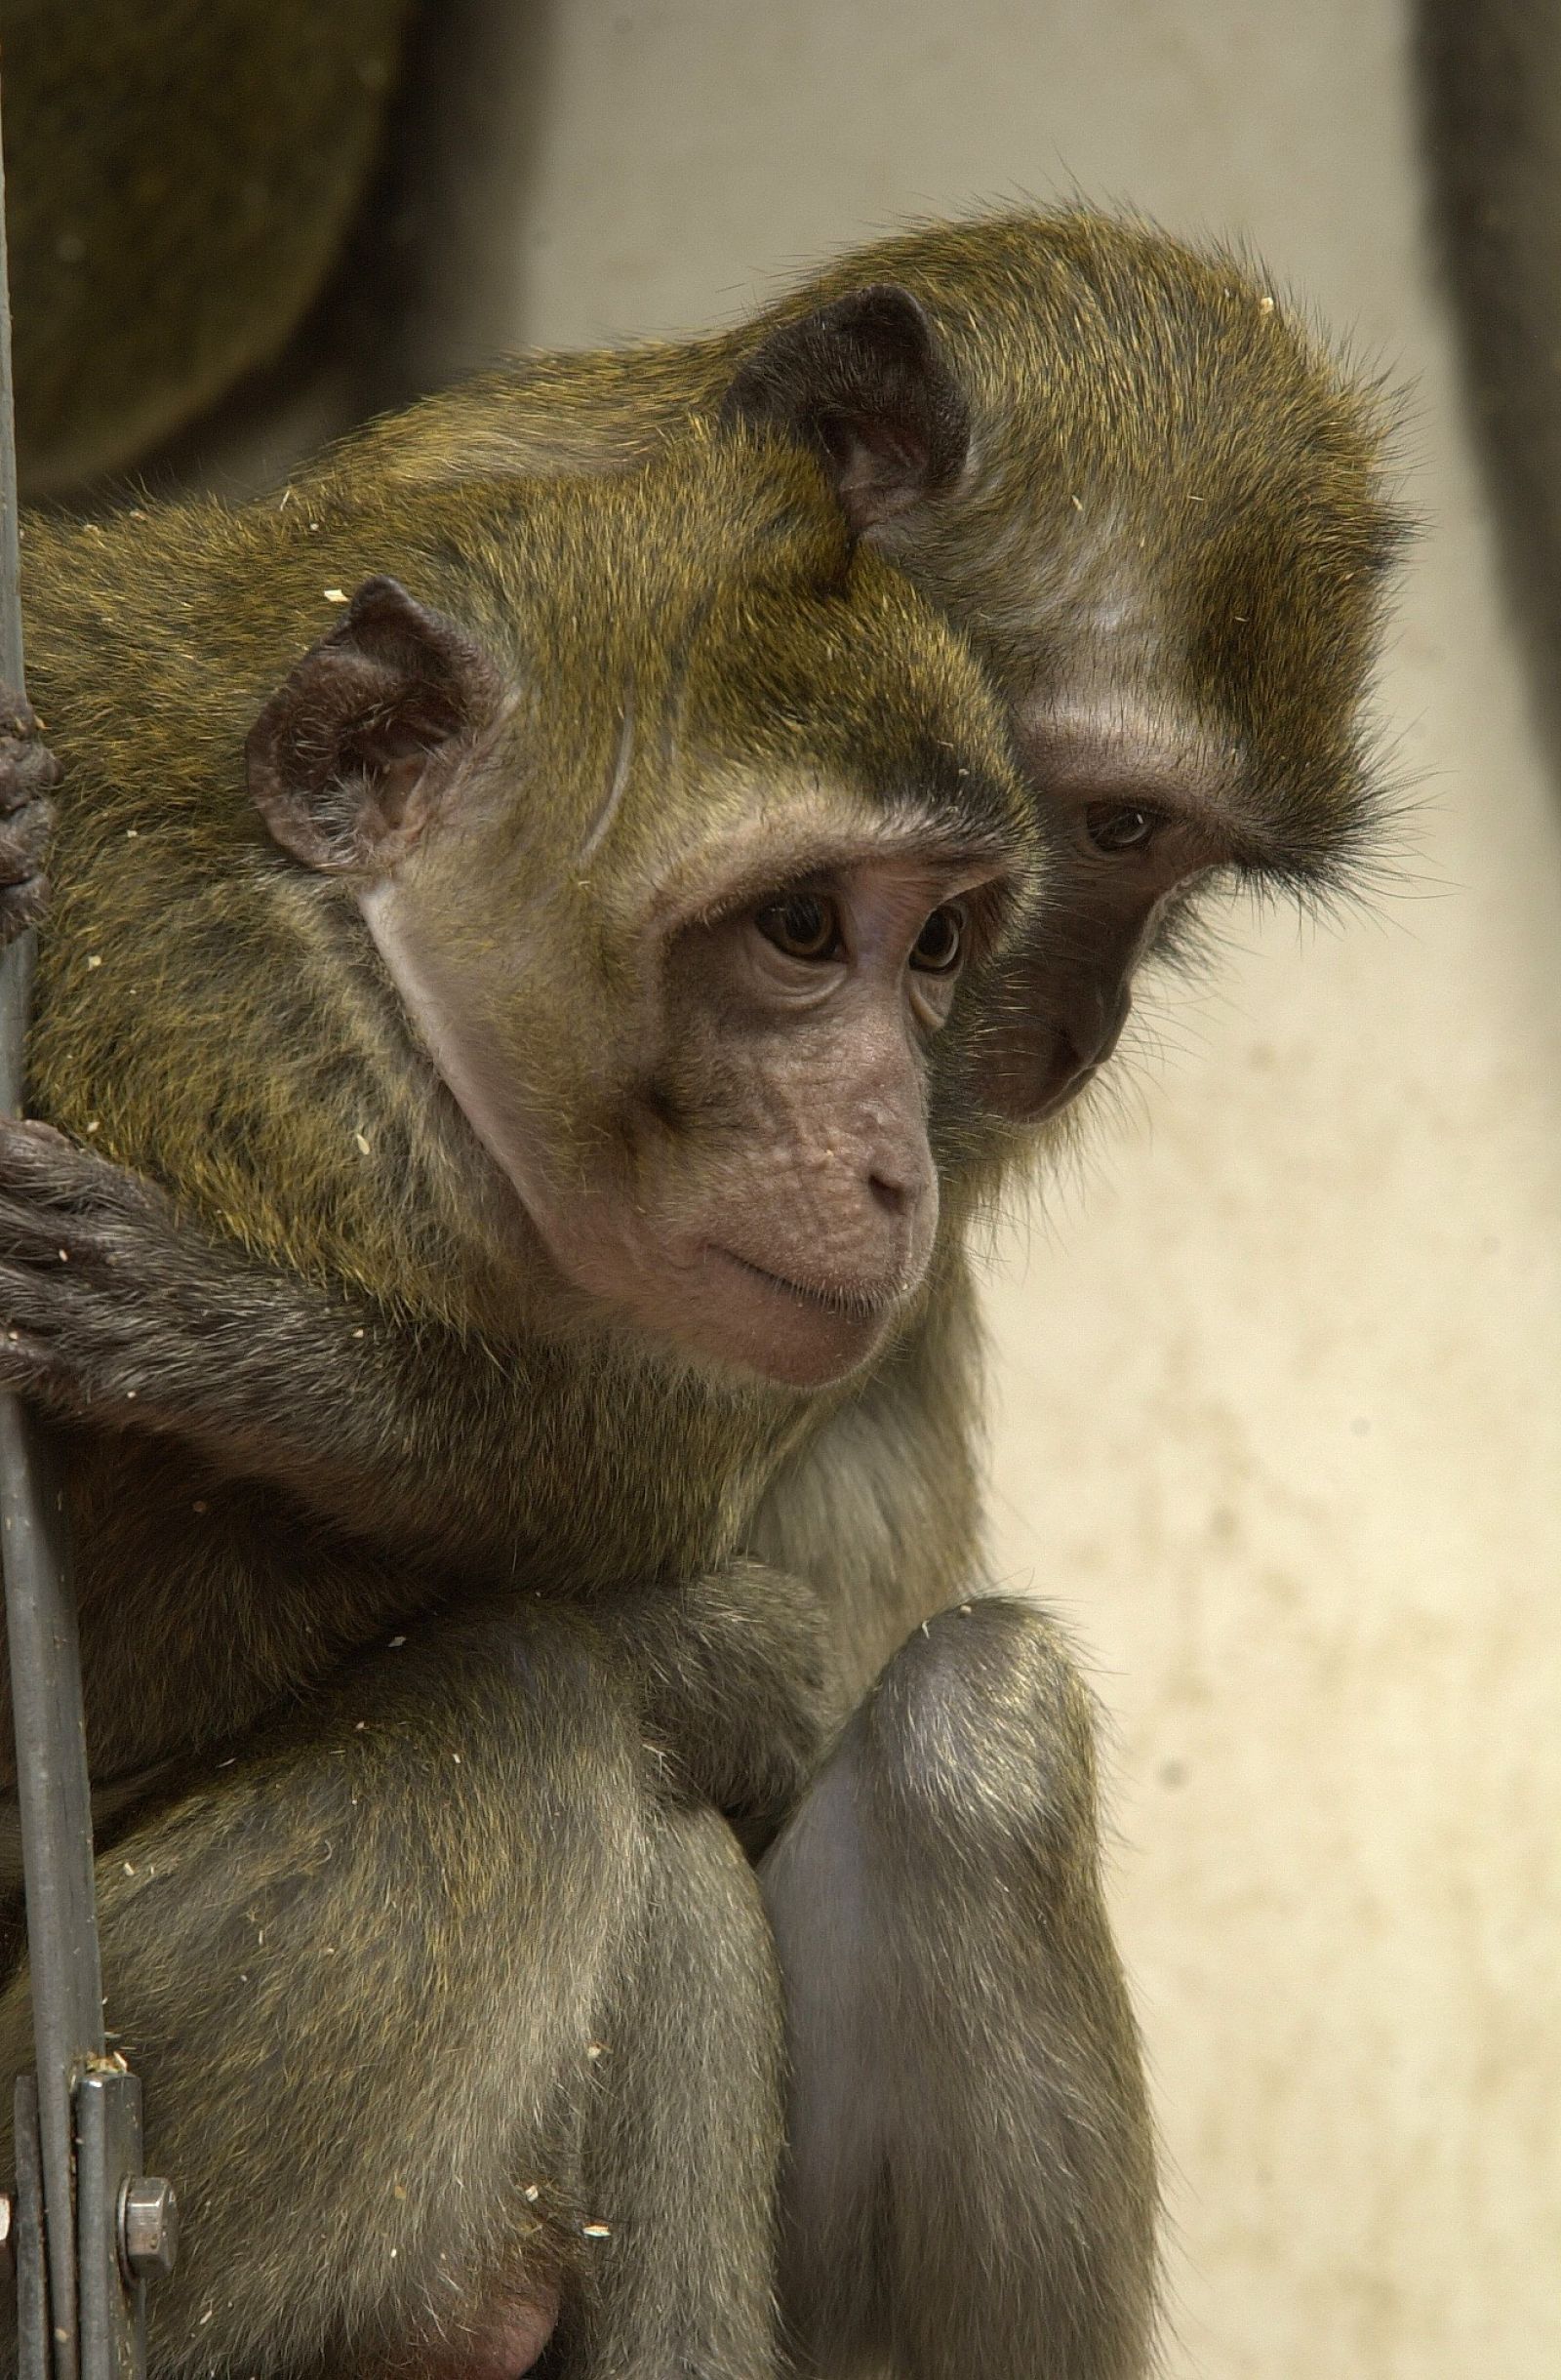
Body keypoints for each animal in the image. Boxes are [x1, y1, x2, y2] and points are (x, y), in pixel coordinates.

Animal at [0, 331, 1156, 2380]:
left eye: (937, 942)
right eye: (800, 927)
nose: (901, 1157)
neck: (354, 958)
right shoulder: (274, 1092)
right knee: (530, 1728)